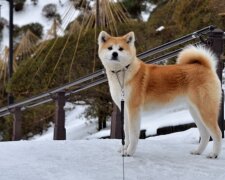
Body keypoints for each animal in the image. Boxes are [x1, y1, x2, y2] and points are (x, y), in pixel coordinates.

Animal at [98, 31, 221, 159]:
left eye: (121, 49)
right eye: (110, 48)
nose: (115, 54)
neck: (122, 74)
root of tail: (205, 67)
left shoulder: (133, 109)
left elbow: (133, 134)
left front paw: (130, 152)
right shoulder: (125, 111)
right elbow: (126, 133)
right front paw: (124, 149)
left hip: (205, 110)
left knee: (217, 133)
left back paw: (214, 154)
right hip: (195, 112)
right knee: (205, 134)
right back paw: (198, 151)